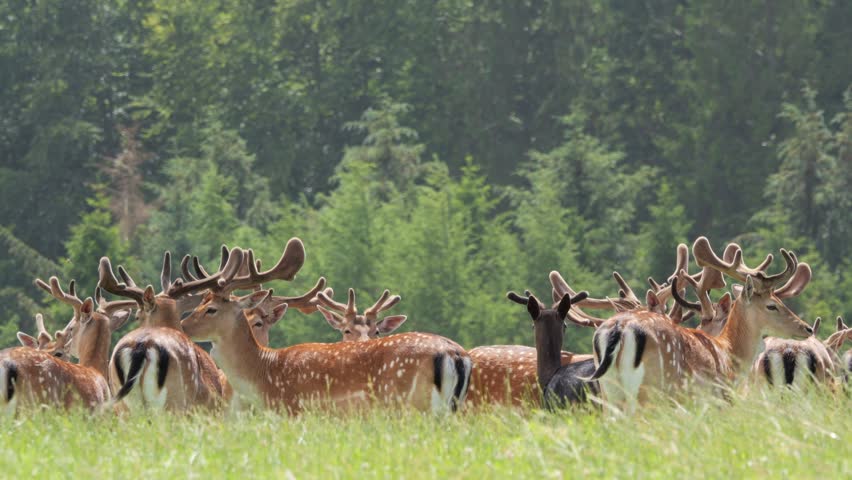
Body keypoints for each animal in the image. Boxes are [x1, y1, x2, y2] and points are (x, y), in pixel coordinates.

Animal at [180, 241, 472, 414]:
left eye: (211, 308)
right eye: (202, 301)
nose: (182, 324)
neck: (264, 373)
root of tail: (456, 354)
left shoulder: (296, 410)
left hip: (409, 403)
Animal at [584, 237, 813, 410]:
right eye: (772, 305)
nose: (807, 328)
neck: (729, 353)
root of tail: (618, 329)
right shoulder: (721, 396)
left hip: (609, 389)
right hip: (651, 387)